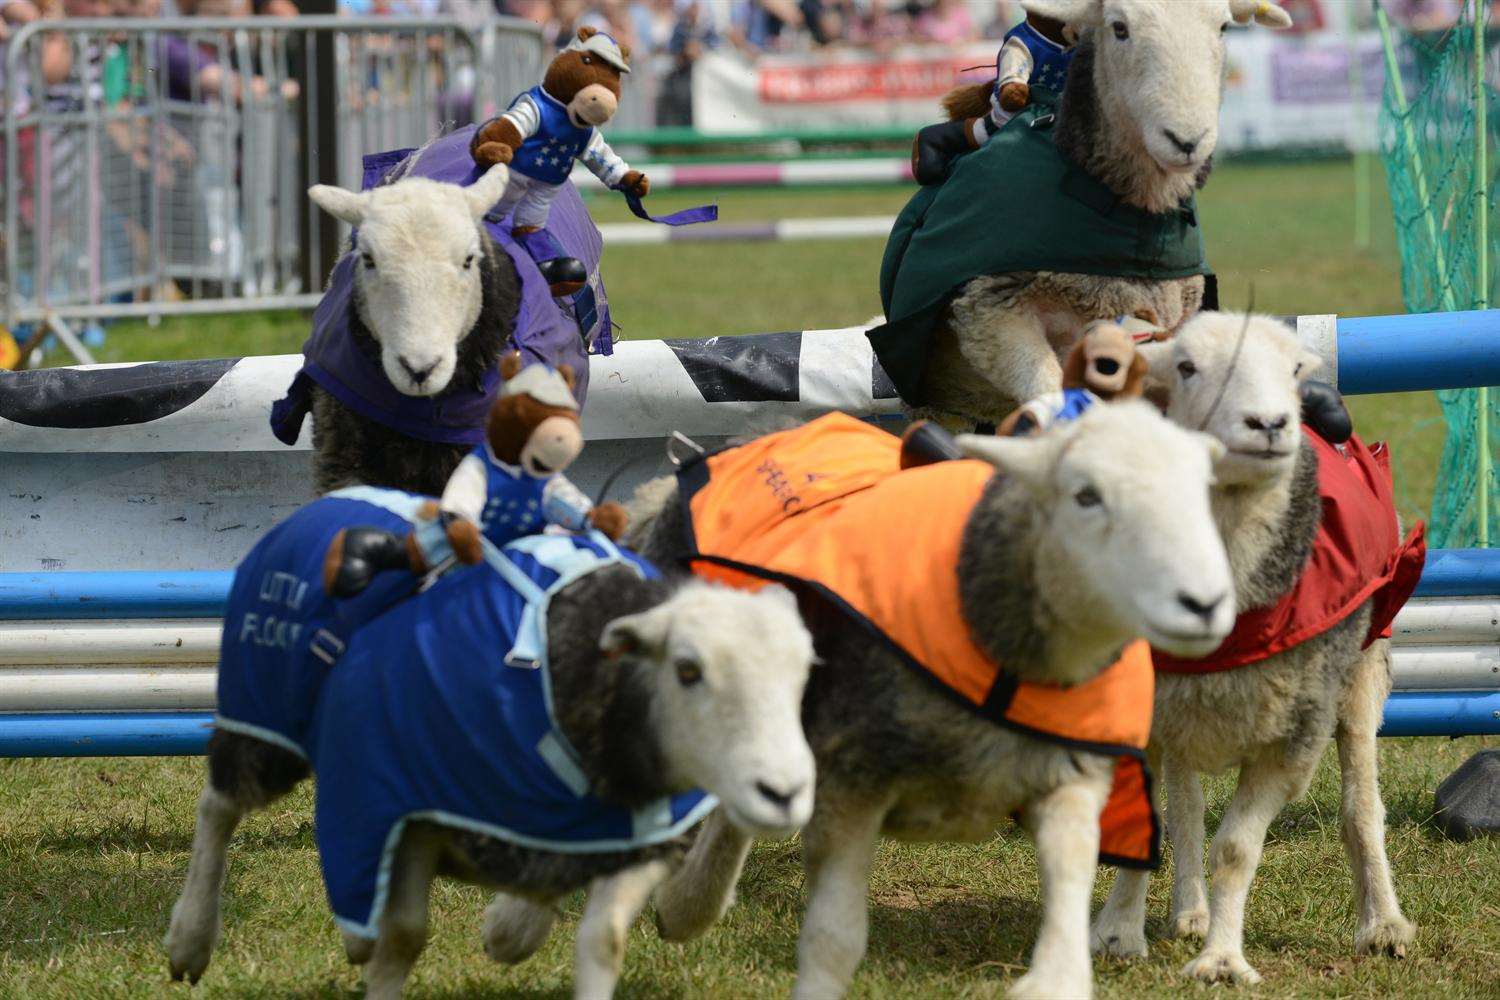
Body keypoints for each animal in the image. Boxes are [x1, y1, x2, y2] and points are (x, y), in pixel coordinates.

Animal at [618, 401, 1230, 995]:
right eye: (1086, 495)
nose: (1205, 603)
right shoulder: (851, 783)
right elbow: (832, 940)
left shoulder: (1070, 780)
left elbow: (1068, 908)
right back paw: (683, 904)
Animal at [1092, 314, 1416, 983]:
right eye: (1186, 367)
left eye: (1294, 370)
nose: (1269, 424)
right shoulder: (1144, 710)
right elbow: (1151, 824)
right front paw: (1116, 934)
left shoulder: (1290, 738)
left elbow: (1238, 848)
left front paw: (1221, 959)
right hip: (1187, 708)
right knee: (1187, 803)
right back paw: (1189, 910)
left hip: (1360, 675)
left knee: (1361, 808)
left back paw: (1384, 924)